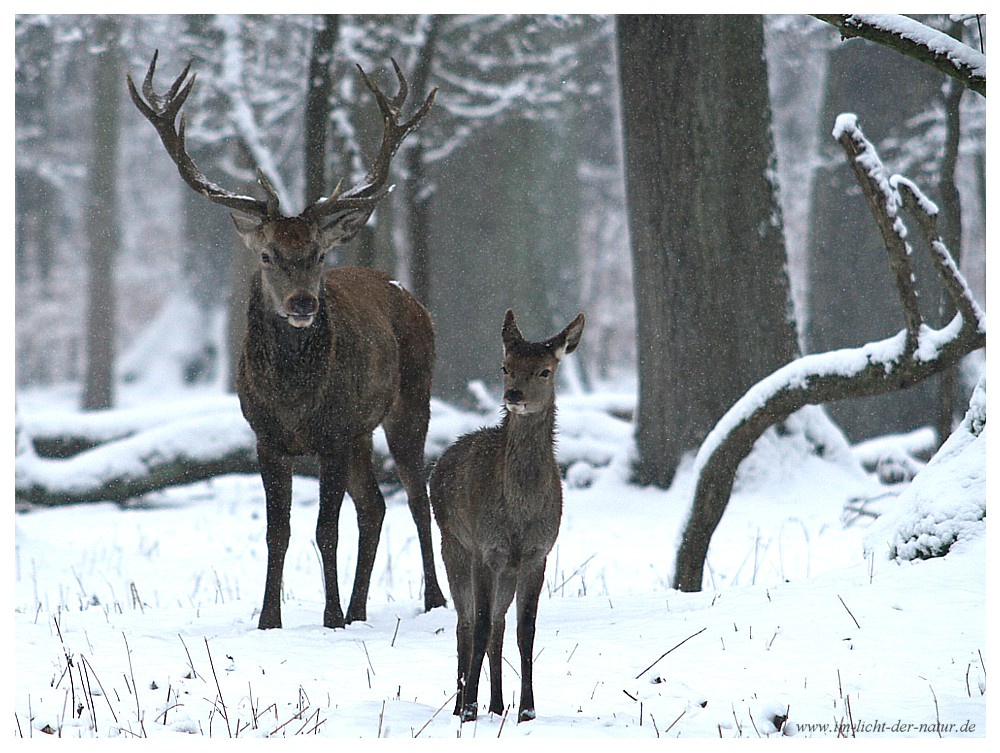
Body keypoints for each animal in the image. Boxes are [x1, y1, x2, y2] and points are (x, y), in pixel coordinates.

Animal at [126, 53, 446, 628]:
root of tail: (408, 295)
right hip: (363, 430)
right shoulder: (266, 436)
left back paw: (432, 600)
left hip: (410, 402)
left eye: (318, 254)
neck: (295, 400)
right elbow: (279, 532)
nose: (303, 304)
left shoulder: (333, 434)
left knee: (415, 497)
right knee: (375, 506)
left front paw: (330, 618)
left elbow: (325, 530)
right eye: (267, 254)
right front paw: (269, 619)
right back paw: (362, 608)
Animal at [430, 308, 584, 720]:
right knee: (466, 624)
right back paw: (461, 703)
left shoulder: (535, 554)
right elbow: (480, 625)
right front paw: (469, 708)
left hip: (505, 570)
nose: (513, 395)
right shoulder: (487, 549)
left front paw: (527, 709)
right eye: (506, 366)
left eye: (544, 370)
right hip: (453, 546)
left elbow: (523, 632)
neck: (520, 511)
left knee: (498, 626)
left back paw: (497, 704)